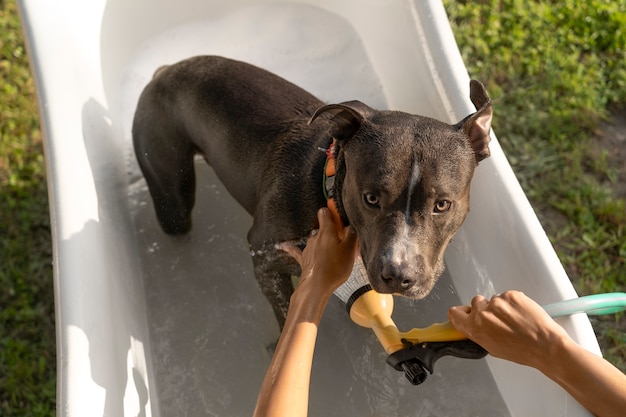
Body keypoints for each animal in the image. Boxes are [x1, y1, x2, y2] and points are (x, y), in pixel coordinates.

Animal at [133, 56, 492, 328]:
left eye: (442, 205)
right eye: (371, 198)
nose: (399, 275)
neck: (328, 194)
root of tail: (167, 69)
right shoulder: (265, 258)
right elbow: (286, 316)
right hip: (170, 194)